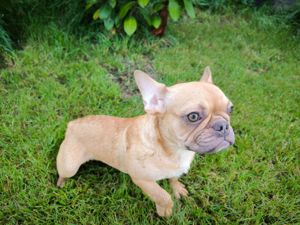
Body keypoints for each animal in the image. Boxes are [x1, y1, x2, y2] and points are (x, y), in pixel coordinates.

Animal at [56, 67, 234, 218]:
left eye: (230, 109)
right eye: (193, 116)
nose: (223, 125)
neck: (172, 150)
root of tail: (72, 124)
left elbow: (174, 178)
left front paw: (177, 188)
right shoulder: (142, 179)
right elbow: (163, 196)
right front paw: (165, 211)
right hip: (70, 166)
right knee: (64, 173)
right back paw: (61, 183)